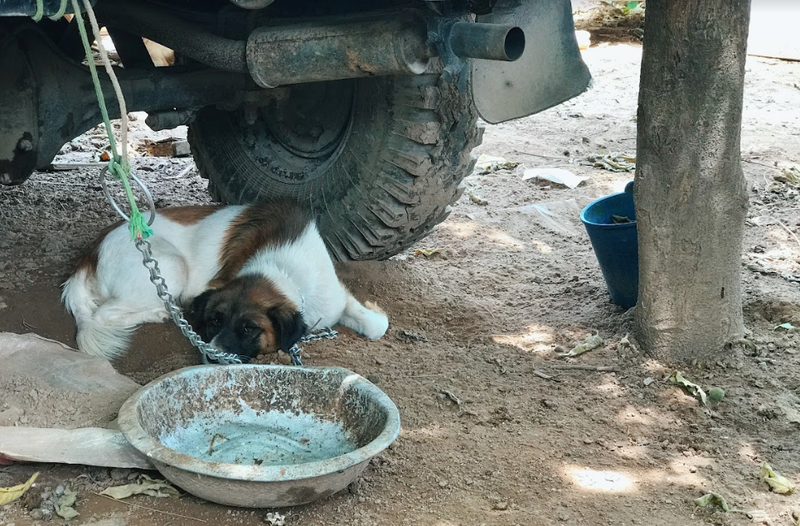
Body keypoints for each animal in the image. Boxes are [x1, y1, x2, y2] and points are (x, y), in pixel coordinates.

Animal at [61, 204, 390, 366]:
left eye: (249, 328)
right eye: (214, 321)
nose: (211, 355)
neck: (285, 271)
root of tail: (90, 252)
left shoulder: (334, 296)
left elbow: (376, 326)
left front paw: (374, 312)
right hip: (171, 266)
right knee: (103, 314)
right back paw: (158, 312)